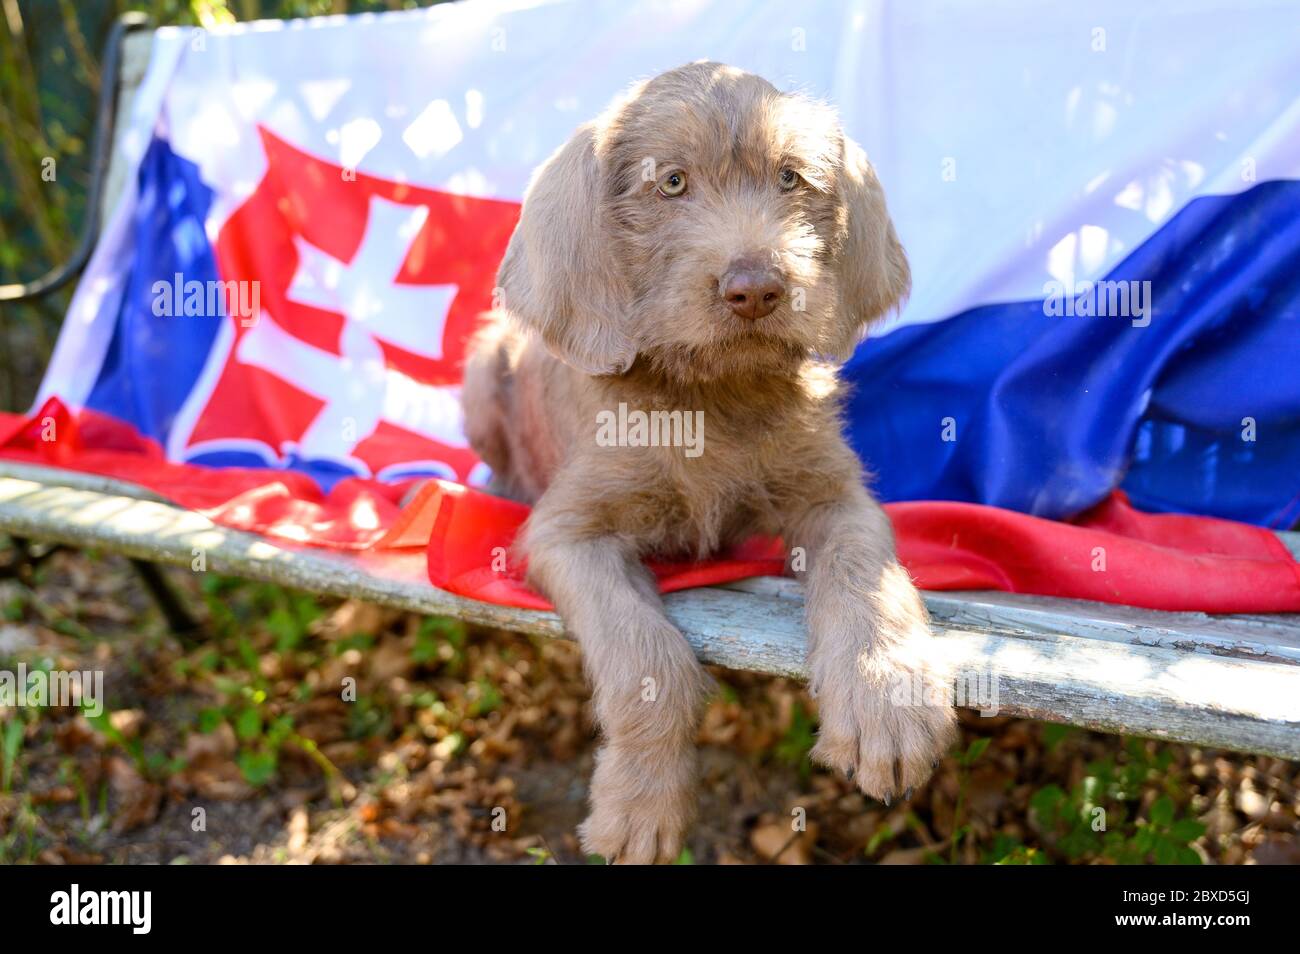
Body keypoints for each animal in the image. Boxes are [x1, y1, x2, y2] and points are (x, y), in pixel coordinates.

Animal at [462, 61, 951, 868]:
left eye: (790, 178)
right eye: (671, 184)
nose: (756, 288)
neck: (711, 393)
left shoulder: (836, 498)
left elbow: (868, 577)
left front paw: (887, 700)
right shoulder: (567, 533)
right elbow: (647, 655)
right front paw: (641, 806)